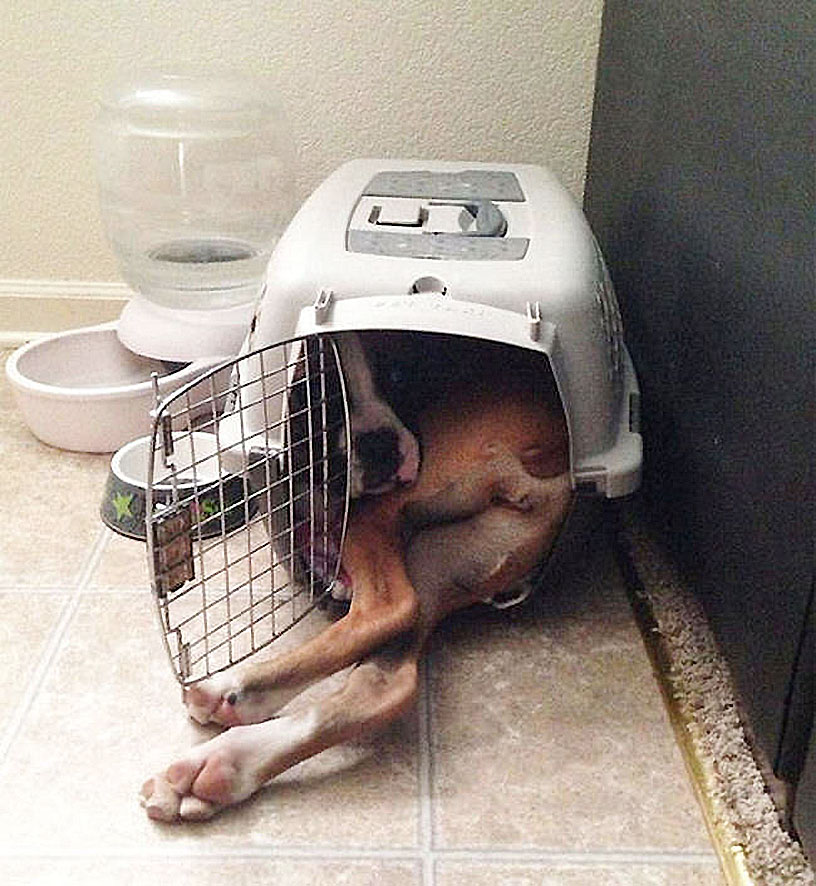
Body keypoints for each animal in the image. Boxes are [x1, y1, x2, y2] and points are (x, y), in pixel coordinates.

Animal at [140, 334, 572, 824]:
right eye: (320, 395)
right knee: (386, 679)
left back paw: (224, 711)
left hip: (380, 516)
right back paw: (230, 753)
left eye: (400, 375)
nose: (380, 445)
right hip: (444, 562)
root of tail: (540, 468)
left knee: (388, 608)